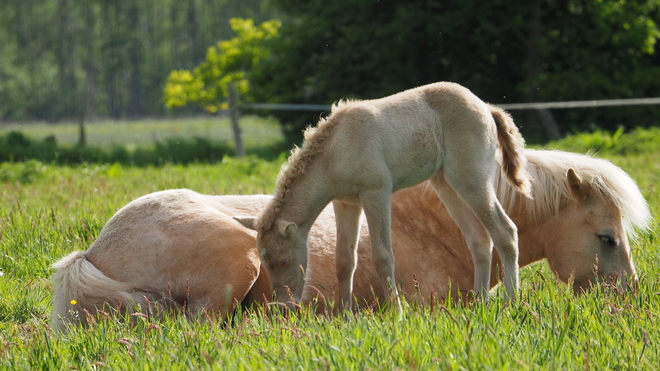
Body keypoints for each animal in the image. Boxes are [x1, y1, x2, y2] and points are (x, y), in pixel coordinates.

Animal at [233, 83, 532, 310]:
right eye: (264, 263)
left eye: (285, 260)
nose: (283, 307)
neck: (335, 151)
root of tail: (486, 107)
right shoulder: (345, 203)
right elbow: (344, 260)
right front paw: (345, 316)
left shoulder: (376, 192)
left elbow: (383, 255)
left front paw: (397, 313)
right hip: (446, 183)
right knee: (479, 239)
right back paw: (480, 302)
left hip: (470, 178)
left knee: (505, 231)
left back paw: (511, 300)